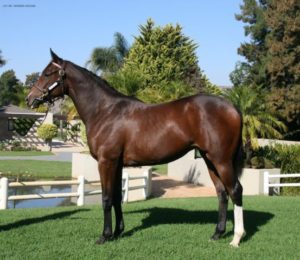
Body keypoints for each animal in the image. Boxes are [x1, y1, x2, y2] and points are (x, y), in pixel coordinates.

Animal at [25, 49, 245, 247]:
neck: (105, 111)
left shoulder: (106, 162)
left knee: (235, 190)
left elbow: (106, 198)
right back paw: (217, 233)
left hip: (221, 160)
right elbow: (116, 197)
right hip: (210, 160)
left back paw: (236, 238)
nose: (29, 98)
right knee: (222, 193)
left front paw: (104, 236)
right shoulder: (117, 164)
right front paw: (117, 232)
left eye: (47, 73)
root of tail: (232, 107)